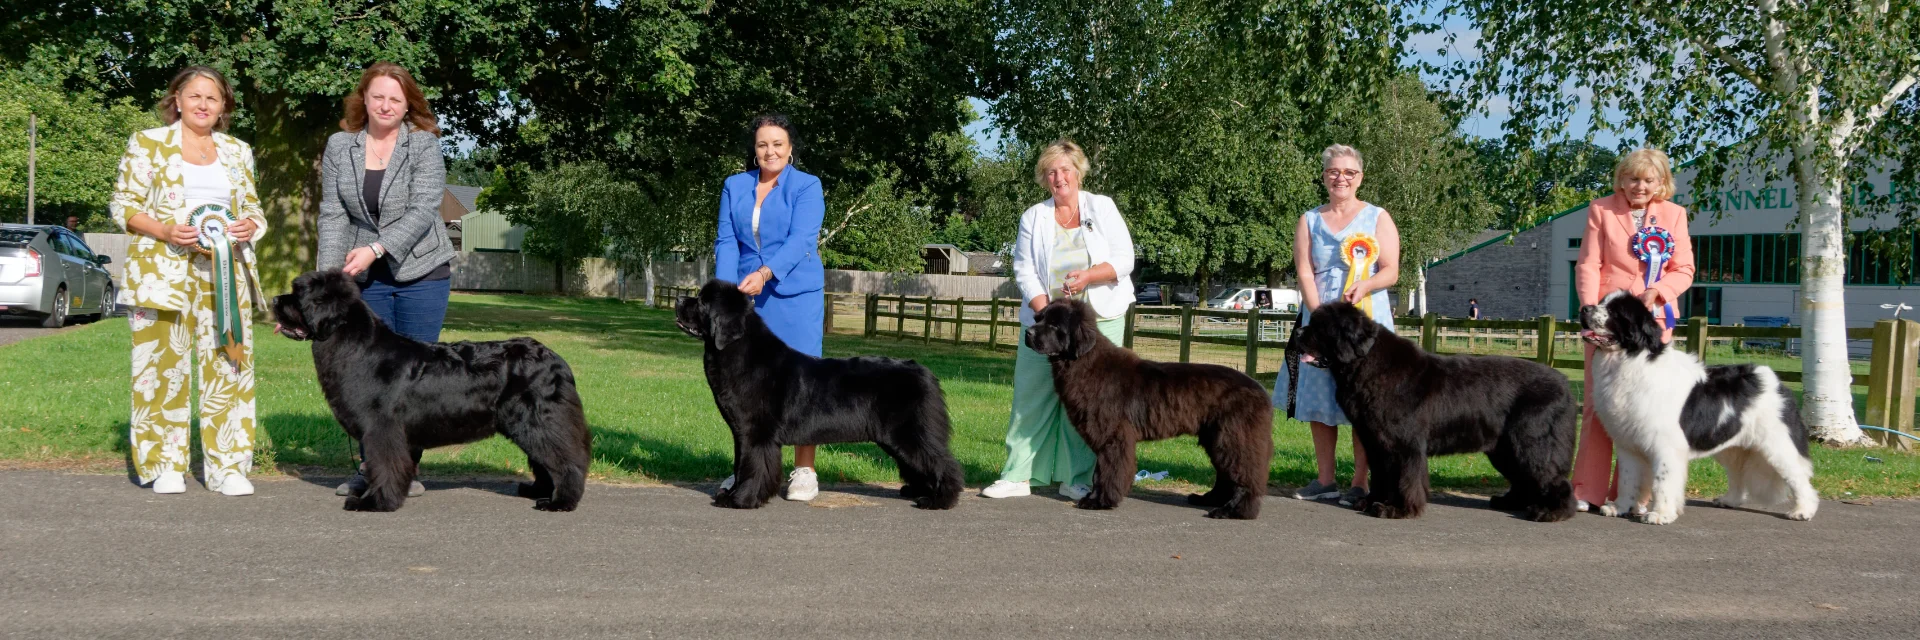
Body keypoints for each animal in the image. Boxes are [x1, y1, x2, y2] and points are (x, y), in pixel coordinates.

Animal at [266, 267, 587, 507]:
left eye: (298, 296)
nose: (273, 300)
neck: (354, 345)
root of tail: (556, 359)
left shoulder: (382, 428)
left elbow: (384, 466)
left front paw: (374, 502)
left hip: (539, 422)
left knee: (566, 460)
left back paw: (560, 502)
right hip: (529, 425)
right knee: (545, 461)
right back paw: (537, 491)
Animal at [679, 278, 975, 507]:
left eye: (703, 302)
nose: (680, 300)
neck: (738, 352)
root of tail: (923, 371)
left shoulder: (757, 433)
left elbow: (753, 466)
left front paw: (742, 500)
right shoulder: (741, 432)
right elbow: (740, 465)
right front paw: (730, 495)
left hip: (909, 433)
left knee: (942, 462)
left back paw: (939, 500)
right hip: (896, 438)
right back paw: (917, 491)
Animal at [1021, 299, 1274, 518]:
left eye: (1055, 325)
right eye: (1038, 318)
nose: (1028, 333)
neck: (1082, 362)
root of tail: (1261, 390)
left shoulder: (1114, 437)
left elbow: (1107, 471)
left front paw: (1100, 501)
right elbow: (1099, 472)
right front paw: (1095, 498)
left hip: (1234, 437)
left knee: (1244, 475)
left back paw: (1233, 511)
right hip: (1217, 438)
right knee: (1225, 474)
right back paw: (1209, 499)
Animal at [1290, 299, 1574, 518]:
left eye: (1321, 327)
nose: (1298, 333)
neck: (1364, 362)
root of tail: (1565, 384)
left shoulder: (1404, 444)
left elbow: (1405, 478)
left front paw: (1398, 509)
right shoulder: (1376, 442)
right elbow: (1382, 475)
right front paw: (1372, 502)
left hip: (1530, 443)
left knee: (1551, 478)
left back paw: (1551, 512)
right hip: (1504, 448)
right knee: (1523, 478)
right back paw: (1511, 502)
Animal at [1574, 292, 1812, 522]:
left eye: (1615, 311)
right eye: (1602, 302)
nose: (1584, 308)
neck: (1629, 361)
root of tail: (1777, 383)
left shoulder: (1665, 446)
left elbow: (1662, 482)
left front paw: (1660, 514)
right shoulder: (1628, 445)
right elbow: (1627, 479)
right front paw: (1620, 508)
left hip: (1777, 445)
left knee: (1799, 477)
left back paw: (1803, 511)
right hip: (1730, 445)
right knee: (1738, 473)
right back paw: (1729, 500)